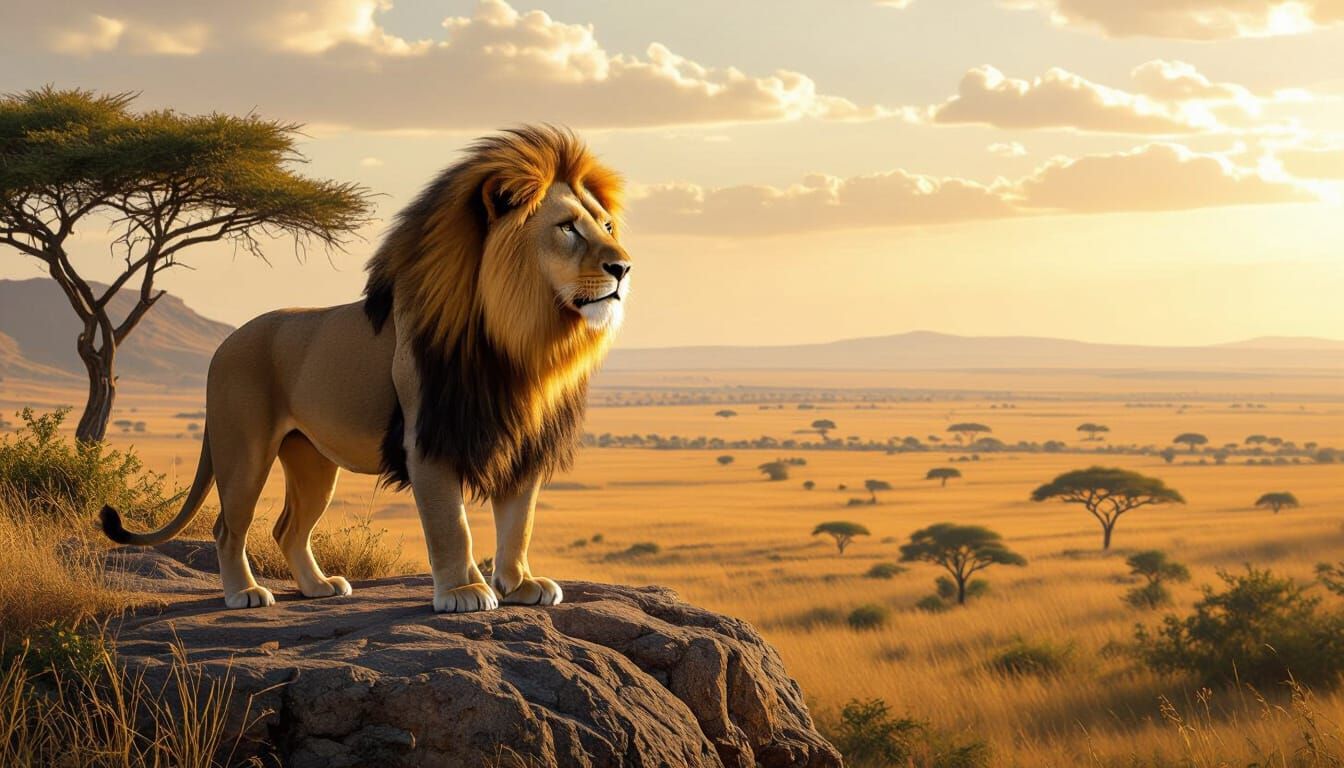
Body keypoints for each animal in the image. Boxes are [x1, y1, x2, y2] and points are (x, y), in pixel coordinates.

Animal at [101, 126, 630, 613]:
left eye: (607, 226)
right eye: (567, 227)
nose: (624, 267)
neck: (523, 341)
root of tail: (224, 343)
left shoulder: (522, 440)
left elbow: (519, 521)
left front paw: (520, 585)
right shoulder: (428, 439)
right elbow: (451, 526)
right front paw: (462, 592)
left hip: (311, 459)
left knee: (287, 528)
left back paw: (318, 587)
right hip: (245, 448)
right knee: (228, 525)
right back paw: (244, 593)